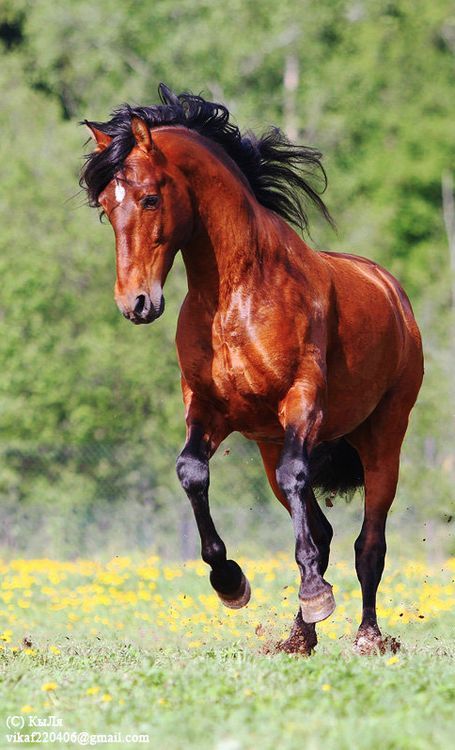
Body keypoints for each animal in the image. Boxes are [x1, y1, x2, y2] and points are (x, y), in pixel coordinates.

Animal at [81, 85, 424, 656]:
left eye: (150, 198)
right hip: (269, 444)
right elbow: (191, 472)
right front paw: (230, 581)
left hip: (383, 438)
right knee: (322, 530)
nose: (136, 303)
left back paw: (368, 636)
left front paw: (315, 595)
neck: (234, 295)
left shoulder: (302, 401)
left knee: (368, 542)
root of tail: (392, 292)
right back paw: (299, 637)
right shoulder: (210, 409)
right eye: (107, 207)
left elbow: (302, 484)